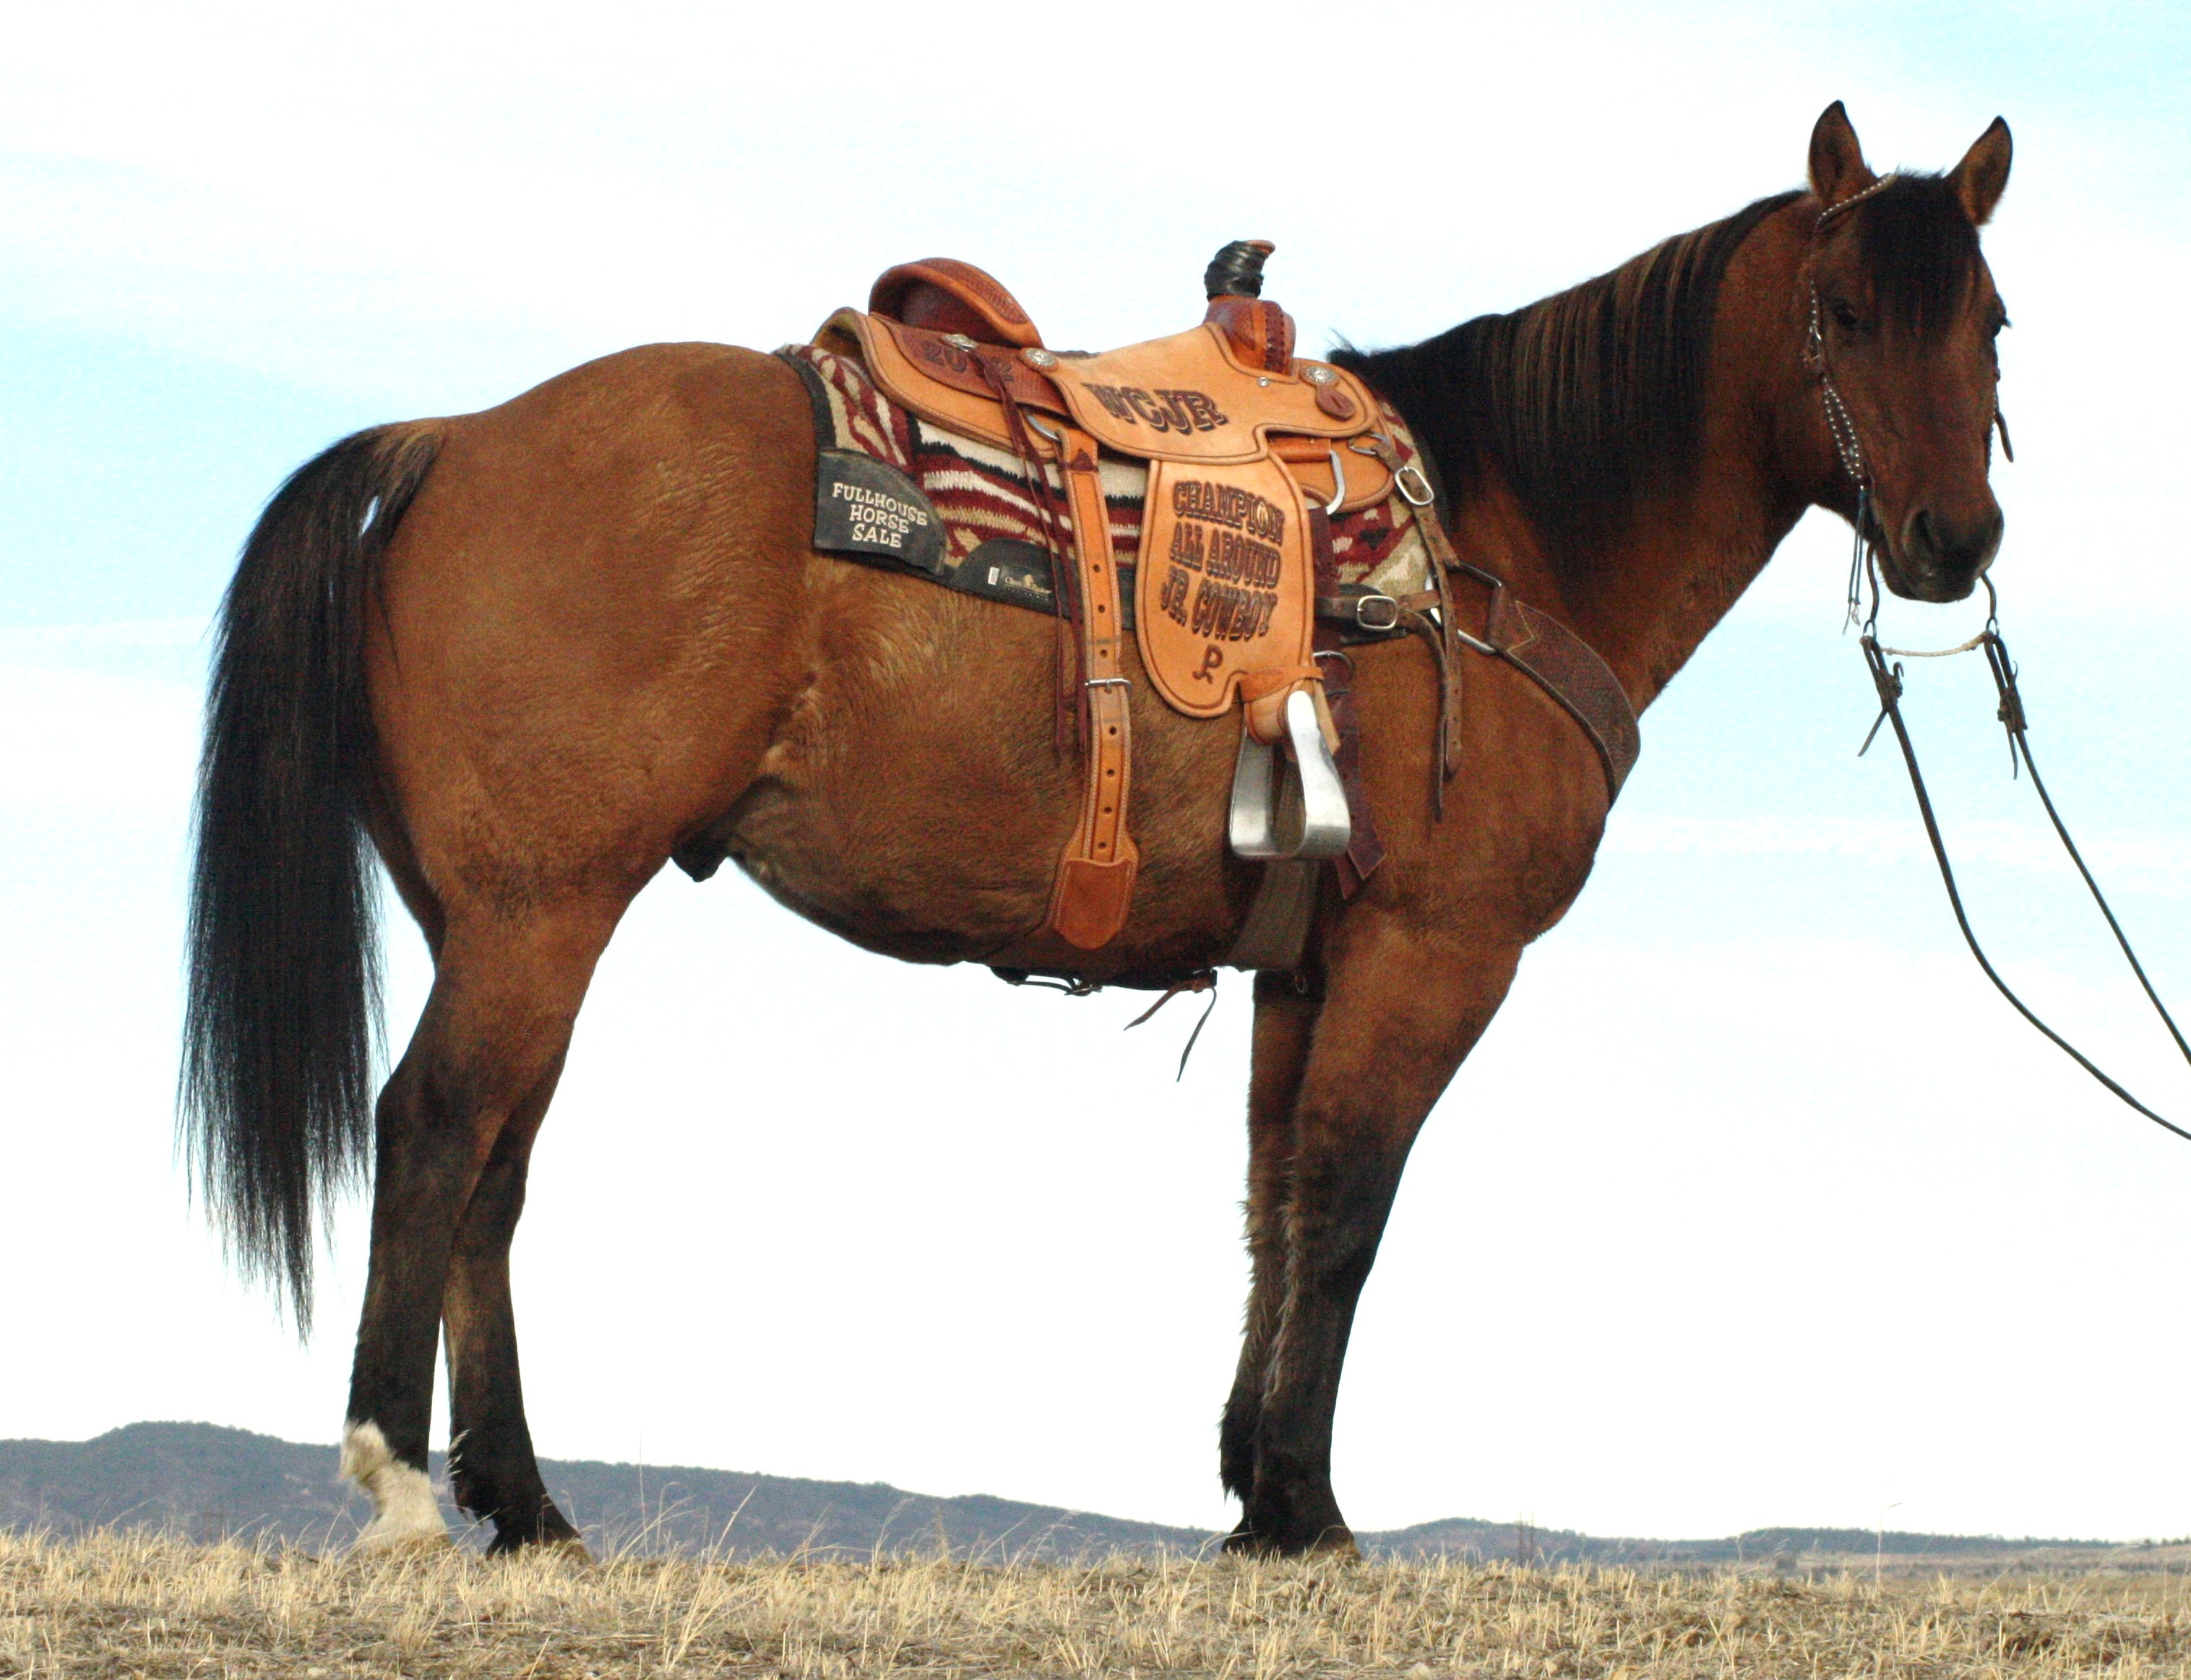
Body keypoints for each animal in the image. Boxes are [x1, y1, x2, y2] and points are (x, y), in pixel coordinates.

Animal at [182, 101, 2013, 1556]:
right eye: (1846, 310)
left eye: (1991, 319)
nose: (1952, 539)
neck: (1500, 539)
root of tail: (451, 443)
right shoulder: (1436, 953)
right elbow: (1350, 1204)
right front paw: (1308, 1510)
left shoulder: (1304, 964)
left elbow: (1276, 1197)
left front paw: (1255, 1490)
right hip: (538, 909)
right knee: (434, 1132)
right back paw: (404, 1483)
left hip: (513, 921)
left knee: (496, 1165)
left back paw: (529, 1502)